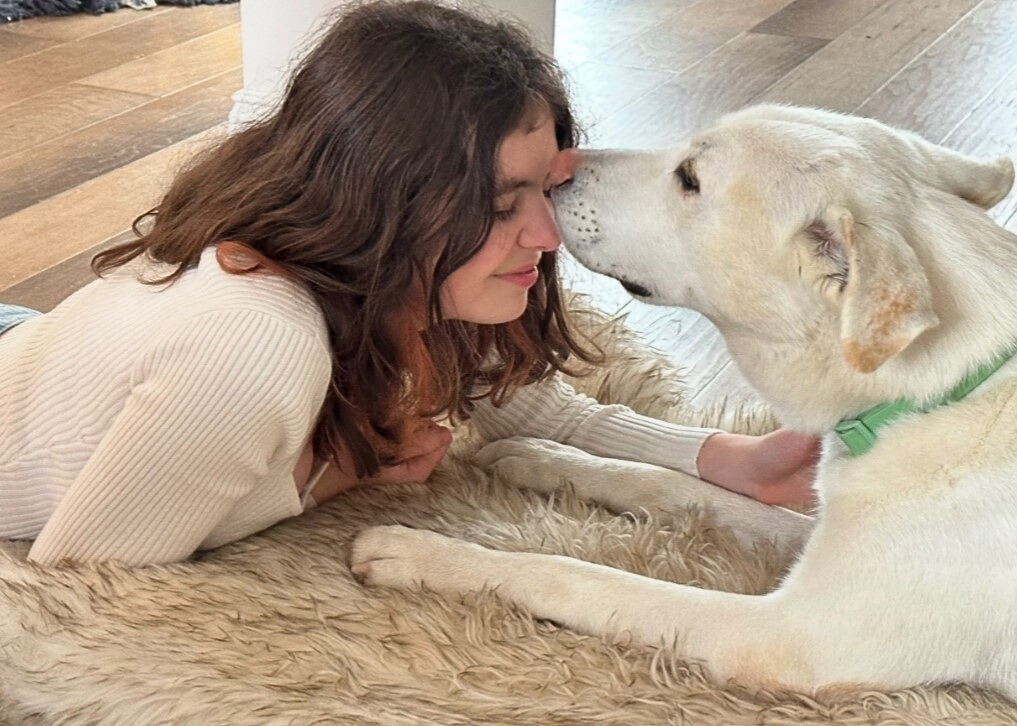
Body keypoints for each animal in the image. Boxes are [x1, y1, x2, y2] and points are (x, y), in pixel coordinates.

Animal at [351, 104, 1016, 699]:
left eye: (690, 179)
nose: (555, 166)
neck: (935, 395)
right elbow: (676, 486)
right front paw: (541, 459)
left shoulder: (789, 633)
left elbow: (571, 576)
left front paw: (422, 552)